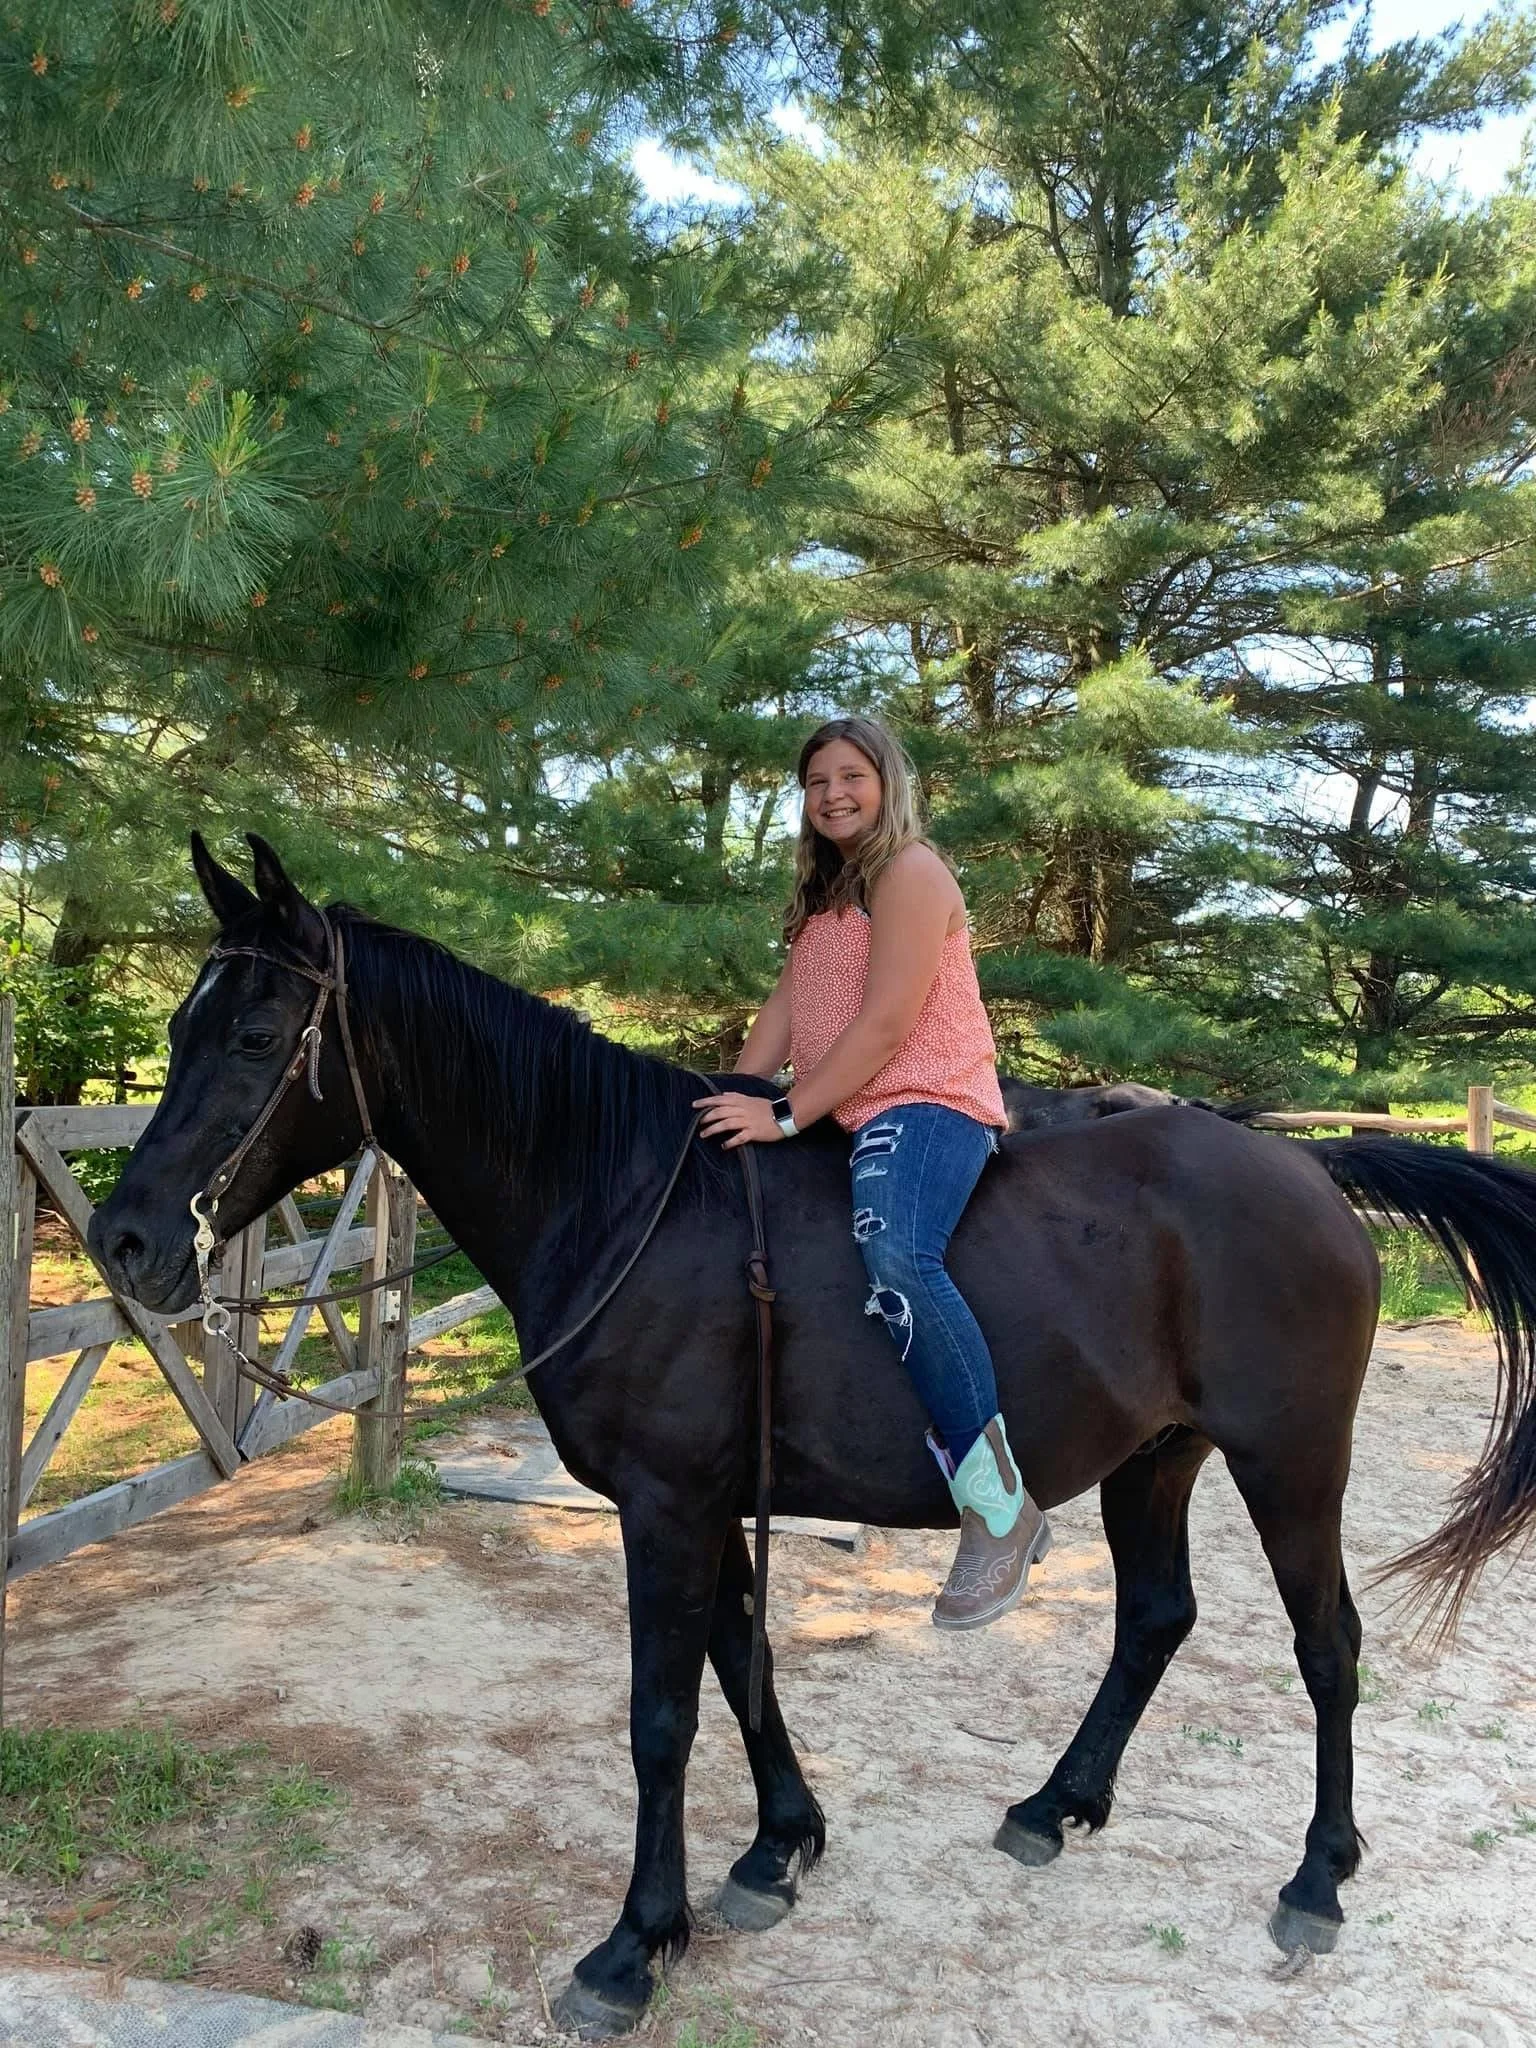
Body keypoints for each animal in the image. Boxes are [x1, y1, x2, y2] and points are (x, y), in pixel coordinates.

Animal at [90, 837, 1536, 2039]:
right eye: (178, 1024)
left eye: (259, 1029)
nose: (127, 1237)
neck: (623, 1201)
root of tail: (1308, 1168)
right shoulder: (707, 1498)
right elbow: (744, 1662)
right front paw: (776, 1847)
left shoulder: (665, 1503)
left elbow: (662, 1713)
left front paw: (633, 1944)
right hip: (1154, 1458)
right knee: (1155, 1619)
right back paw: (1052, 1804)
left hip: (1289, 1457)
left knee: (1328, 1645)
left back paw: (1316, 1879)